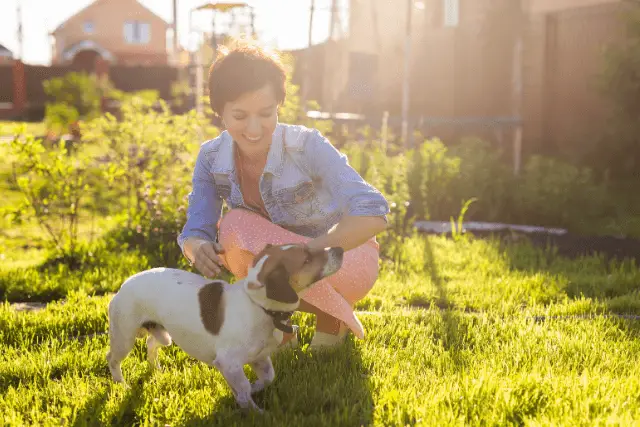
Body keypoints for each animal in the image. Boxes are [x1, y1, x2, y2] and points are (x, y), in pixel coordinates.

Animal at [105, 242, 344, 412]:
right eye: (307, 259)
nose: (340, 249)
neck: (257, 305)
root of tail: (123, 285)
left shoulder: (259, 358)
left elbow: (267, 377)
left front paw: (251, 392)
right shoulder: (229, 363)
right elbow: (244, 388)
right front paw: (255, 411)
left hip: (164, 334)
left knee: (151, 342)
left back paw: (156, 368)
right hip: (124, 337)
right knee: (112, 358)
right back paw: (122, 384)